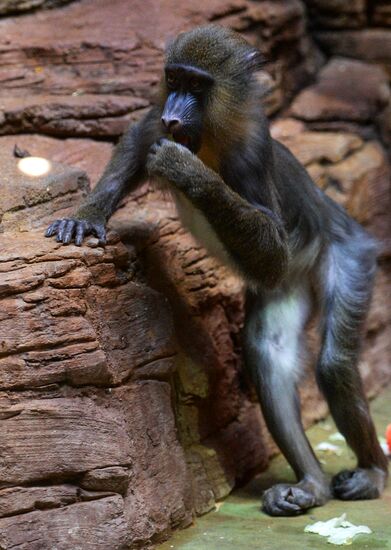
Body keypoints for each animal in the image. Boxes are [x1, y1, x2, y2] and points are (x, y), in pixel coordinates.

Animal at [44, 24, 388, 516]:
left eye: (198, 86)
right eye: (174, 80)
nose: (173, 115)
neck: (208, 134)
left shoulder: (250, 156)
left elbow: (273, 247)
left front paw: (190, 174)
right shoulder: (154, 122)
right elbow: (135, 140)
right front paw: (86, 215)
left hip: (350, 254)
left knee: (335, 363)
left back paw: (372, 471)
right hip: (285, 287)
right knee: (269, 352)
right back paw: (311, 485)